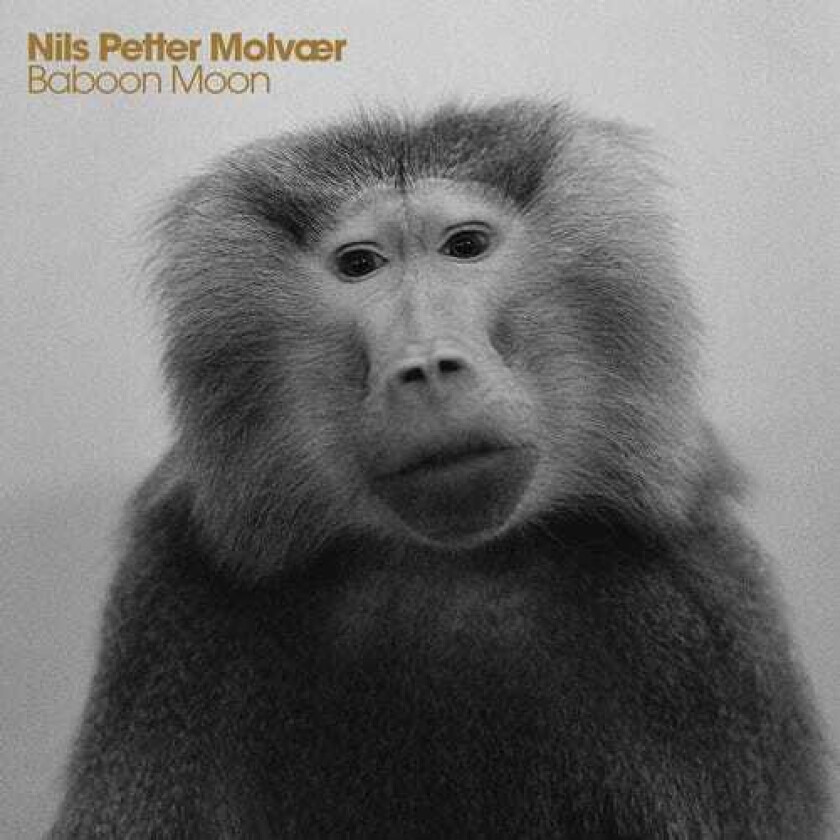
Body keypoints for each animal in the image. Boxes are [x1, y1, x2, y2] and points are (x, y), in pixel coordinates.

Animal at [50, 100, 831, 838]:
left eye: (466, 247)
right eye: (359, 265)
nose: (427, 366)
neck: (449, 565)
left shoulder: (694, 616)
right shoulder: (174, 609)